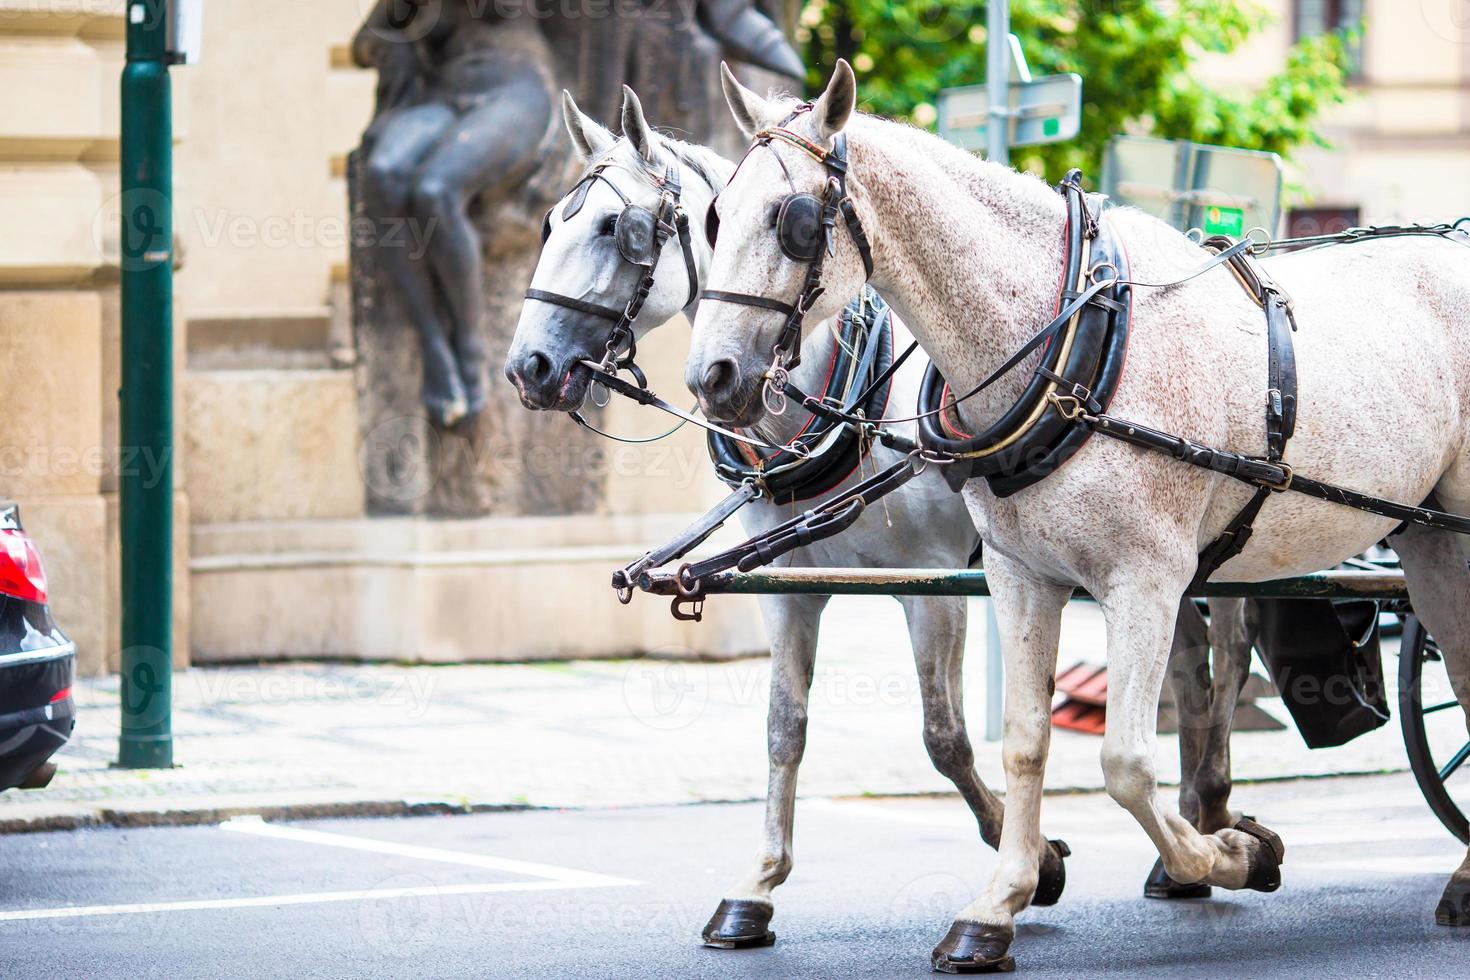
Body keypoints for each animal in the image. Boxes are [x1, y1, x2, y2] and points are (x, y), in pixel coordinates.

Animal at [502, 86, 1070, 952]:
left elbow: (944, 737)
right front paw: (758, 886)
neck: (845, 405)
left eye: (614, 229)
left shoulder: (932, 587)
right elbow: (783, 727)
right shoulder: (786, 585)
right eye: (548, 225)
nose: (526, 367)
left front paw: (1033, 859)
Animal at [690, 63, 1470, 975]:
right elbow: (1025, 738)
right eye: (715, 215)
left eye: (795, 220)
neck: (1067, 340)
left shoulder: (1146, 581)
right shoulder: (1022, 576)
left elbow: (1126, 762)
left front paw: (1235, 853)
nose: (711, 377)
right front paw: (1001, 902)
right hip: (1430, 541)